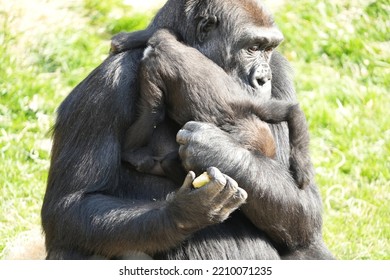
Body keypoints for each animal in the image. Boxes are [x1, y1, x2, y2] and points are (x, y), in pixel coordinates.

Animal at [122, 29, 310, 188]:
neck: (240, 122)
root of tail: (164, 45)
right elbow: (170, 164)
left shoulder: (257, 106)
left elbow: (292, 111)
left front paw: (301, 166)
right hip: (153, 70)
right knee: (151, 114)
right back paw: (131, 153)